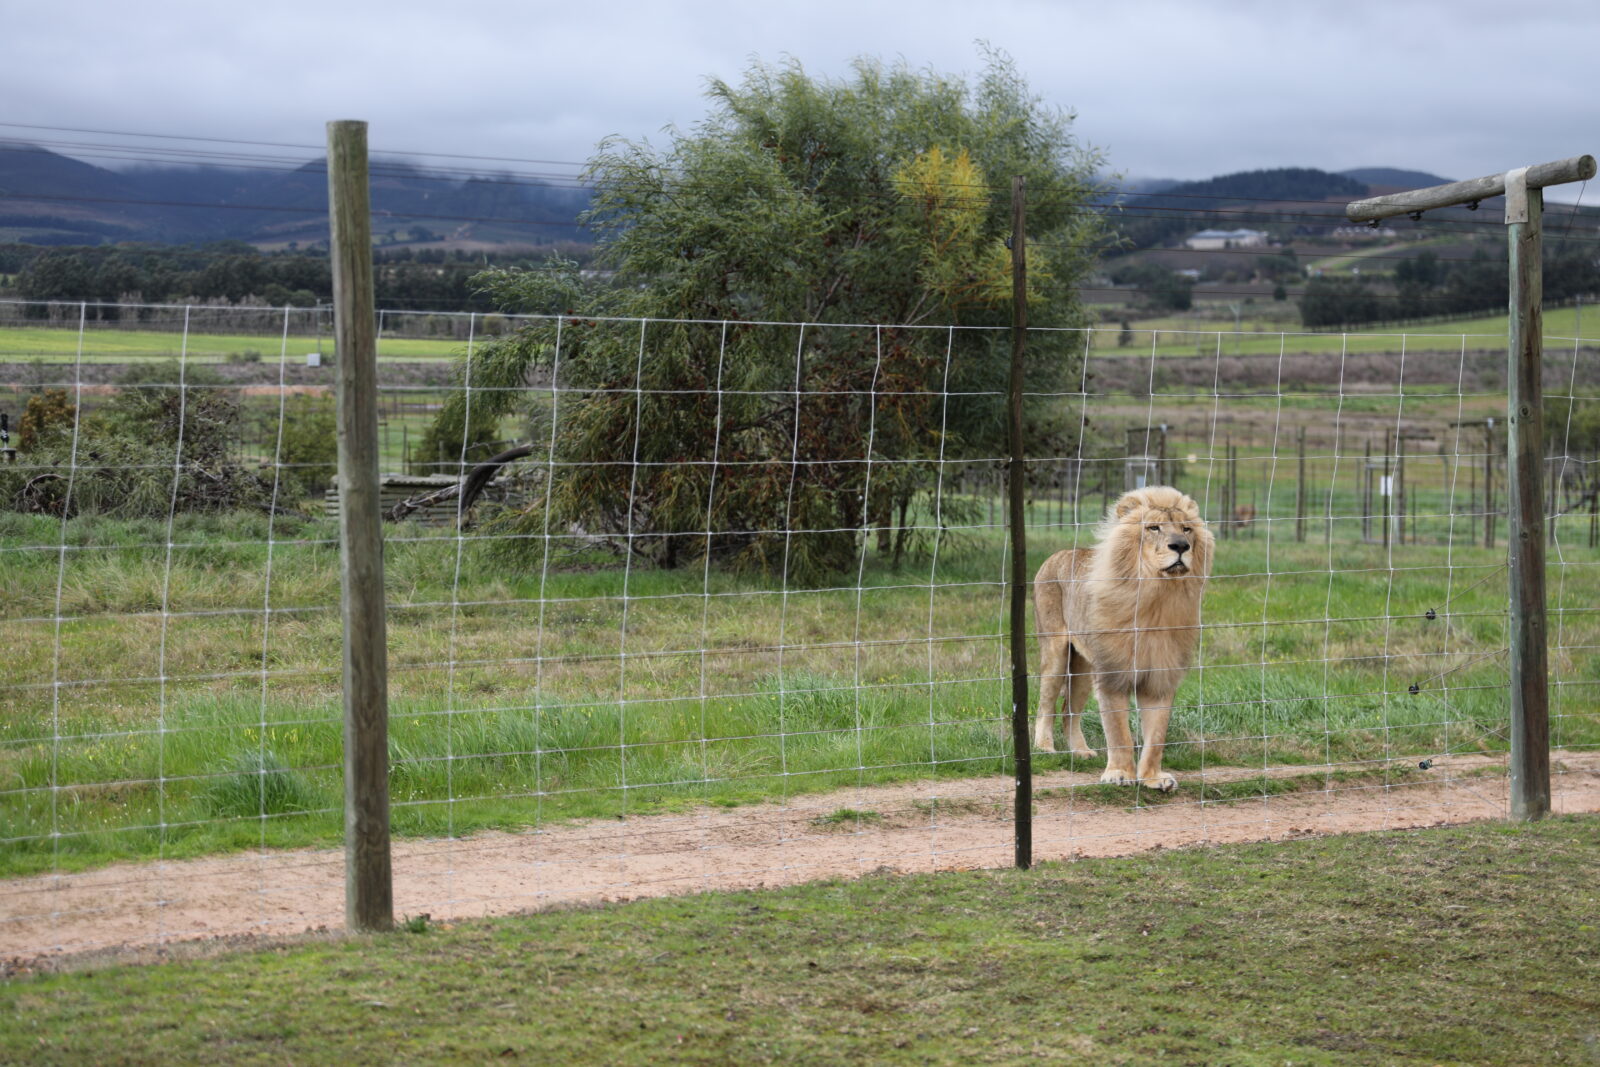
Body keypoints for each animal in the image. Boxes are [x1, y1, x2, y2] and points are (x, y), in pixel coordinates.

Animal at [1036, 489, 1209, 790]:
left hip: (1083, 668)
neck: (1157, 597)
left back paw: (1080, 751)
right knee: (1045, 704)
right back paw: (1044, 747)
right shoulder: (1112, 674)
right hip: (1055, 653)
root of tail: (1060, 552)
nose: (1181, 546)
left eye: (1186, 529)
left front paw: (1152, 778)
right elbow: (1118, 732)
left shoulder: (1160, 675)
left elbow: (1156, 735)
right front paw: (1119, 774)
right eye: (1154, 528)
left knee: (1069, 710)